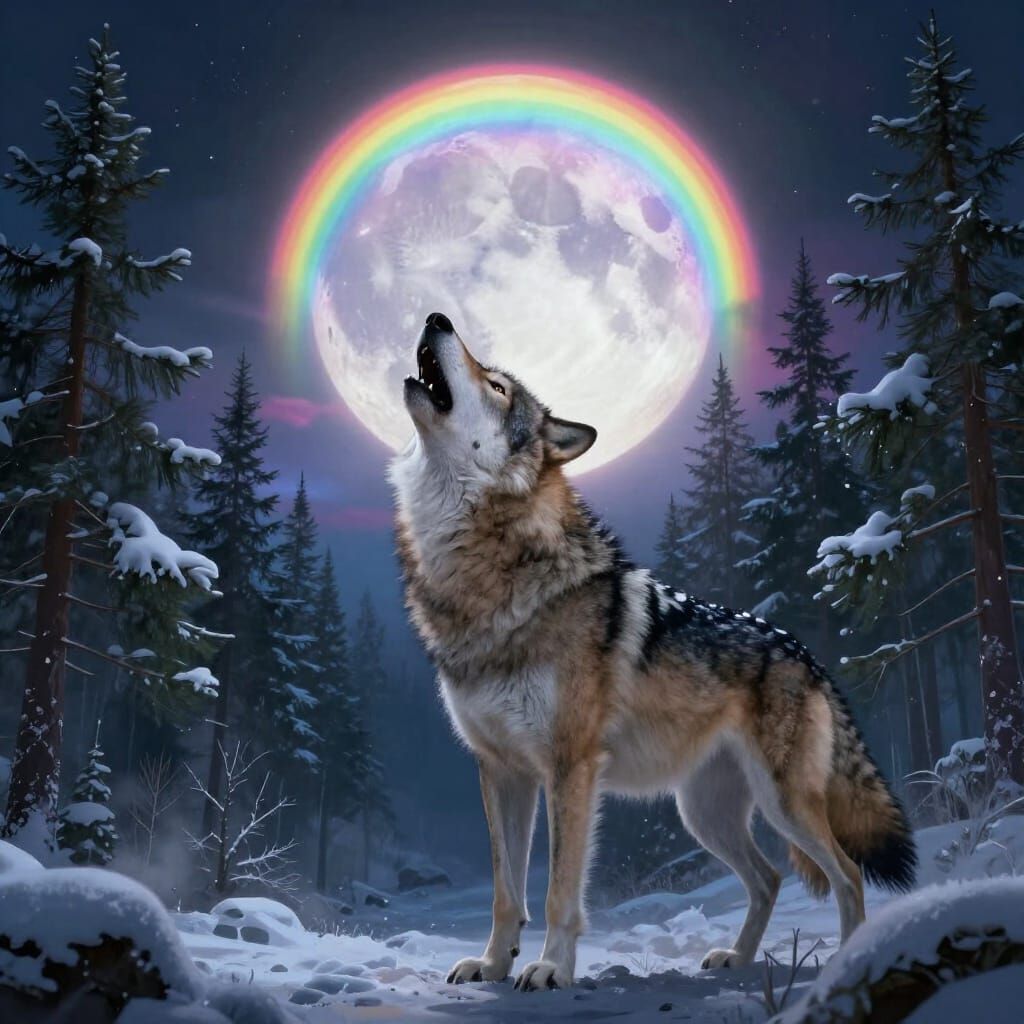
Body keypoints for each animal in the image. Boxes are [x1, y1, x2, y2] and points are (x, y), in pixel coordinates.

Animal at [390, 312, 916, 992]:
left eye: (499, 387)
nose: (437, 317)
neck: (484, 570)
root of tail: (807, 653)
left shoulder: (570, 766)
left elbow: (559, 891)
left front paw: (551, 968)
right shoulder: (500, 770)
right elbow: (508, 892)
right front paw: (493, 964)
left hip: (783, 805)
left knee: (846, 875)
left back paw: (845, 963)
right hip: (705, 815)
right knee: (771, 878)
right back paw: (736, 959)